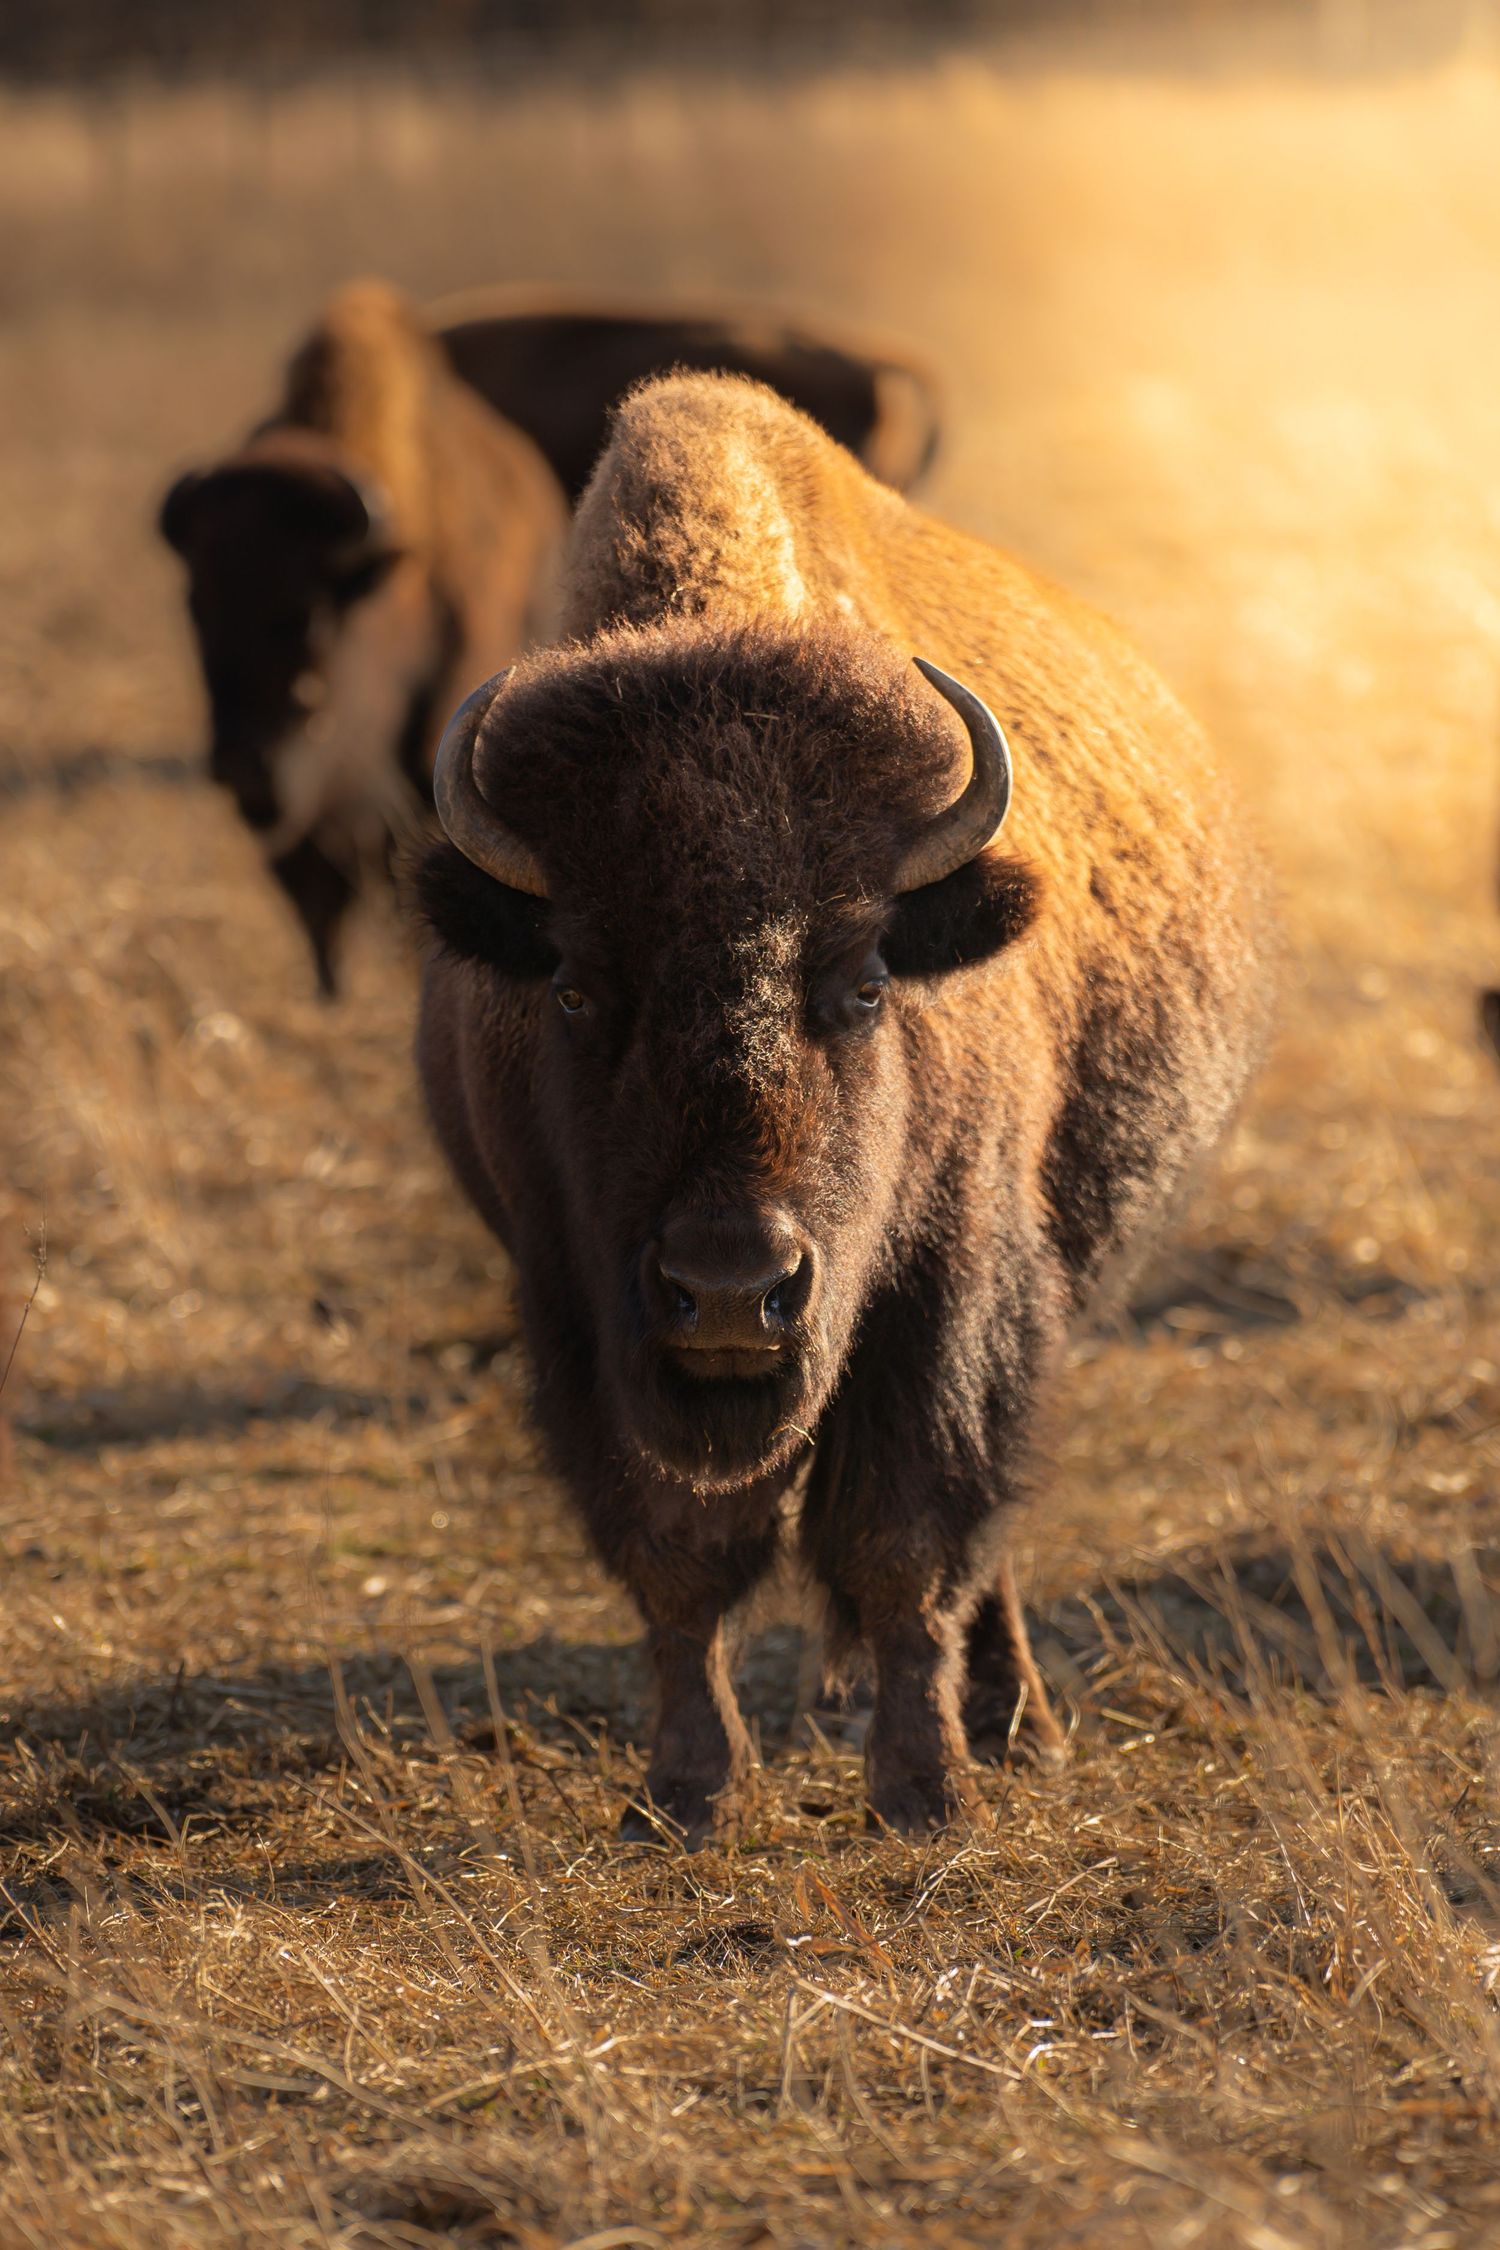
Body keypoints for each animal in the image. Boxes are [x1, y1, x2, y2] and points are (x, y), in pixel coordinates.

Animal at [416, 373, 1271, 1843]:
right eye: (574, 985)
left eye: (868, 977)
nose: (728, 1289)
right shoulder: (580, 1308)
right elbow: (679, 1560)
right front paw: (685, 1792)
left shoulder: (945, 1288)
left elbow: (903, 1543)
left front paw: (926, 1791)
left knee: (983, 1541)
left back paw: (1021, 1726)